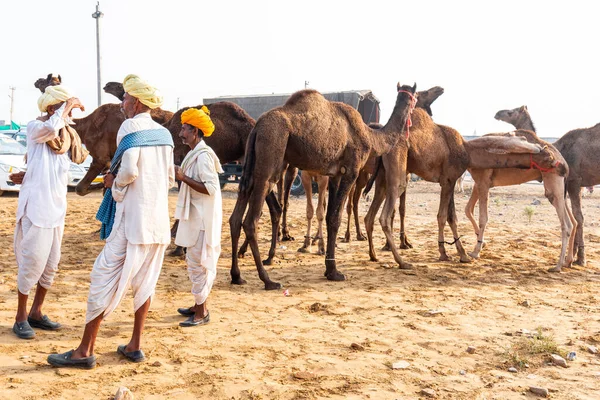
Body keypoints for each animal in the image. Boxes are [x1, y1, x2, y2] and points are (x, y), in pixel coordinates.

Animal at [230, 83, 418, 290]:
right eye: (415, 96)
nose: (415, 112)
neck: (370, 136)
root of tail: (257, 127)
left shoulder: (335, 175)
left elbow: (329, 217)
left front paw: (329, 270)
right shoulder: (351, 170)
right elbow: (335, 218)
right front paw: (335, 272)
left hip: (251, 161)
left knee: (236, 215)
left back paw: (237, 276)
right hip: (270, 155)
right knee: (250, 220)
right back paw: (268, 280)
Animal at [364, 106, 564, 268]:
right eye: (548, 155)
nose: (563, 167)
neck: (467, 152)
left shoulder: (449, 180)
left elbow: (452, 217)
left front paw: (461, 254)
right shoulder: (449, 180)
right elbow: (442, 216)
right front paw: (447, 253)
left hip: (382, 177)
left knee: (369, 216)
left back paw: (374, 256)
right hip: (398, 171)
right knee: (384, 215)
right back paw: (402, 262)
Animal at [494, 105, 596, 268]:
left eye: (511, 112)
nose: (497, 113)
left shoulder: (574, 180)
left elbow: (578, 217)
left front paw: (578, 258)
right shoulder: (574, 184)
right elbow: (576, 217)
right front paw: (573, 257)